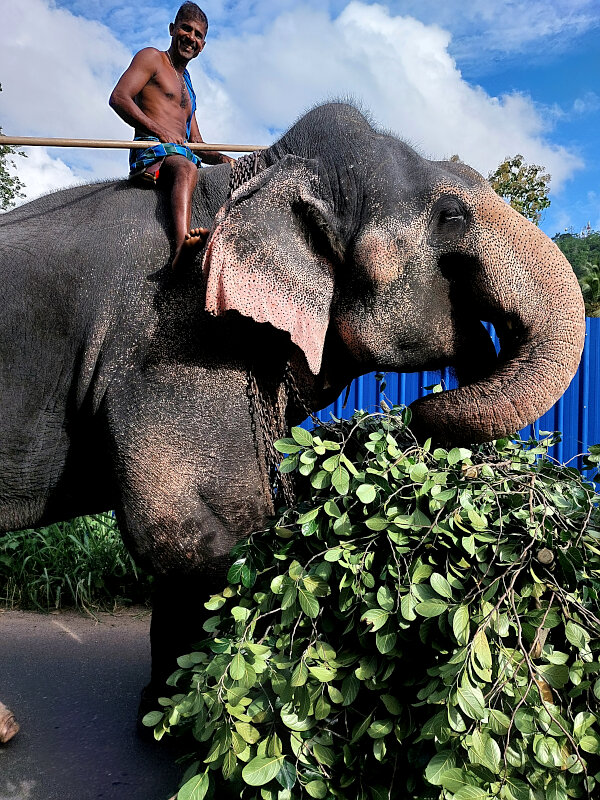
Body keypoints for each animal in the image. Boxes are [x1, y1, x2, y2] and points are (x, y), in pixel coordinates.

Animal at [0, 102, 585, 733]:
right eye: (451, 214)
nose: (416, 411)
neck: (254, 177)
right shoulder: (171, 347)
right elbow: (187, 531)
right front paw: (183, 729)